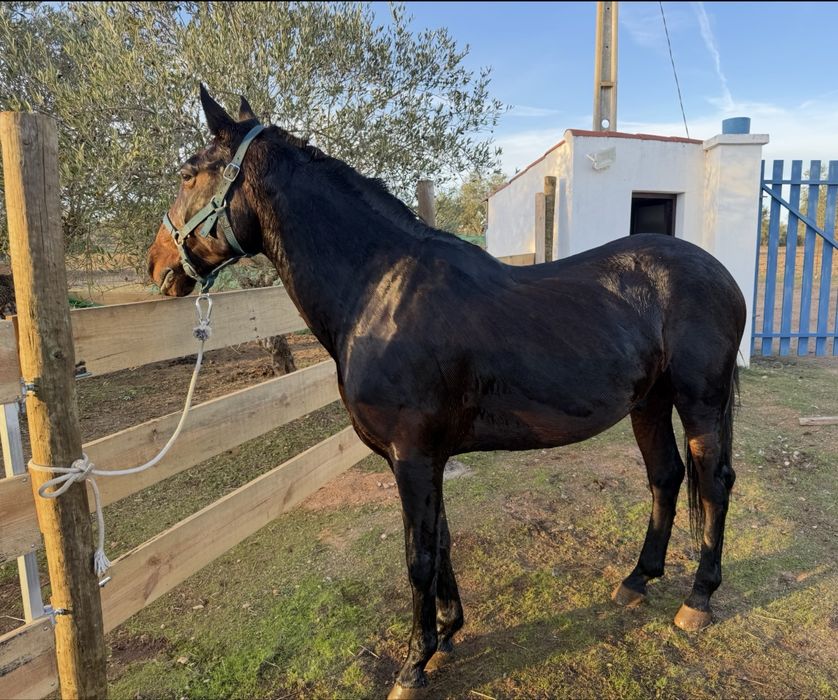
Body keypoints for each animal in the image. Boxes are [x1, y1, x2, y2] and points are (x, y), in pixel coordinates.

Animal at [147, 86, 745, 698]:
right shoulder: (425, 457)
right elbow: (441, 540)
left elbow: (419, 555)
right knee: (665, 476)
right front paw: (449, 631)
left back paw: (698, 598)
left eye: (189, 173)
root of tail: (718, 271)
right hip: (648, 401)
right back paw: (636, 580)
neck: (380, 291)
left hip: (700, 401)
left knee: (713, 483)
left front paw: (414, 663)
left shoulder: (412, 455)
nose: (157, 264)